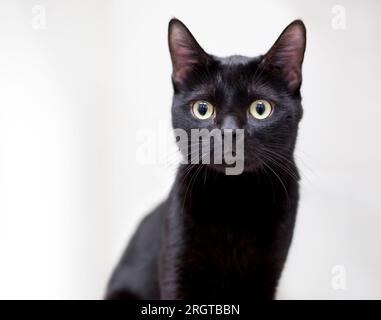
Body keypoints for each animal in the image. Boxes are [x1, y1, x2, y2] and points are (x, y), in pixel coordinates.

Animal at [104, 18, 306, 300]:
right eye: (202, 109)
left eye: (260, 108)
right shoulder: (176, 263)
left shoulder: (268, 273)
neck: (234, 200)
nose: (230, 132)